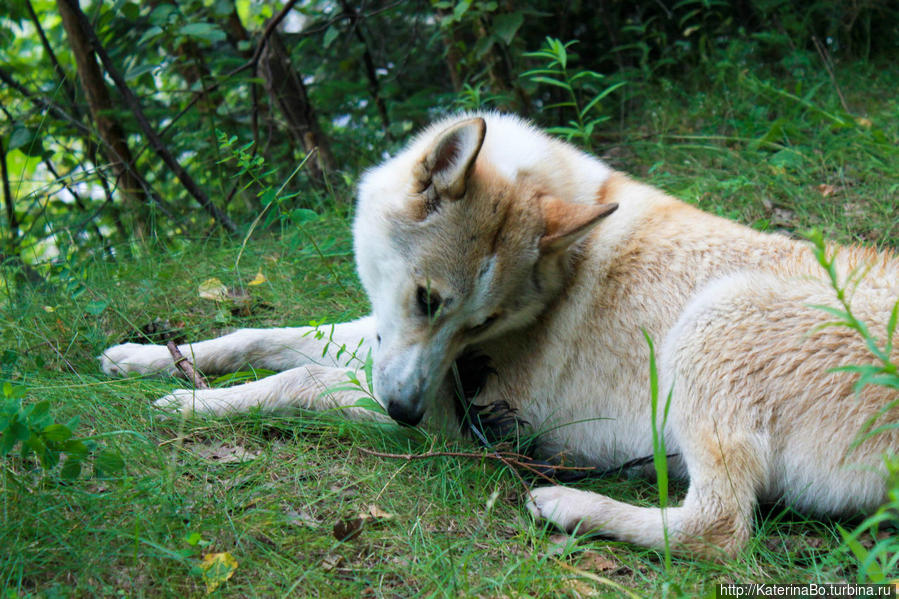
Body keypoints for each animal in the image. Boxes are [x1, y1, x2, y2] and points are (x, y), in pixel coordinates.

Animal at [102, 112, 896, 556]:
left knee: (719, 531)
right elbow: (262, 335)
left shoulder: (445, 418)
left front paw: (193, 406)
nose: (403, 413)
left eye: (479, 322)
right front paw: (147, 358)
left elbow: (293, 381)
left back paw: (569, 506)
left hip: (714, 318)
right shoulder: (380, 342)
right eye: (427, 300)